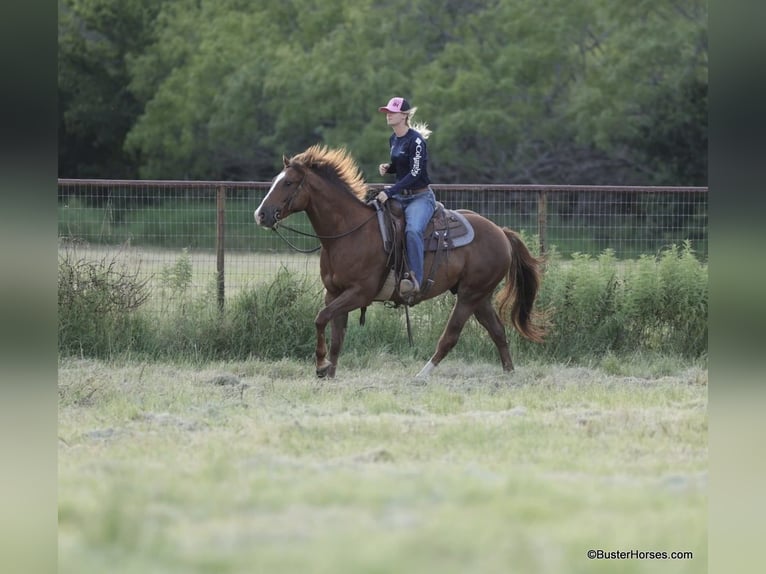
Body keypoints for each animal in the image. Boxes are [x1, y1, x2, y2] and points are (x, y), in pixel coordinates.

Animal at [255, 144, 548, 380]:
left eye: (288, 183)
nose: (261, 215)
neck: (349, 232)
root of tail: (501, 232)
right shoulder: (334, 293)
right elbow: (336, 334)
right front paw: (330, 372)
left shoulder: (359, 293)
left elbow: (320, 318)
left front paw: (320, 365)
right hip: (480, 296)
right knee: (497, 331)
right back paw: (509, 374)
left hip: (469, 295)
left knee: (451, 336)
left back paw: (422, 375)